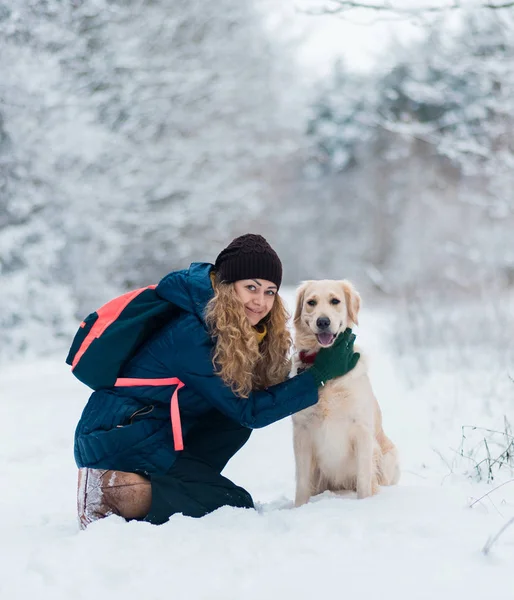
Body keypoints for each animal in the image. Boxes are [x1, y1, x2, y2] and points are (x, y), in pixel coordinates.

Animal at [290, 278, 398, 504]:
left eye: (335, 301)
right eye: (311, 302)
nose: (323, 321)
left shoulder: (362, 430)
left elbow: (364, 479)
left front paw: (364, 504)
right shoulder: (302, 432)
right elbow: (302, 484)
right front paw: (299, 508)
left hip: (389, 457)